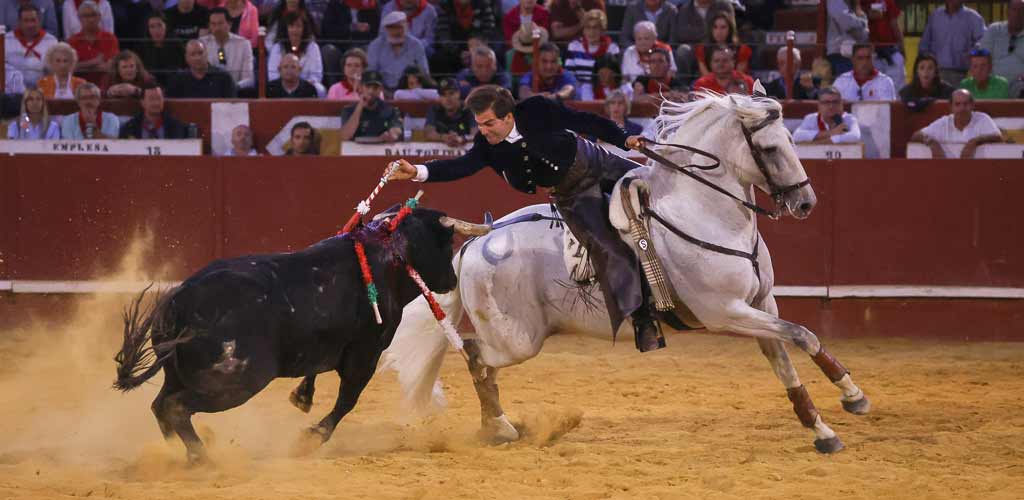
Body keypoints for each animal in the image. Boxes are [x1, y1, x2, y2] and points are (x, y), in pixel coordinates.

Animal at [113, 206, 490, 464]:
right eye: (446, 243)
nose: (451, 280)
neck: (387, 256)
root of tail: (178, 301)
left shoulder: (323, 343)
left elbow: (317, 371)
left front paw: (302, 398)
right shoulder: (365, 353)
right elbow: (347, 400)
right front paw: (312, 436)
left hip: (179, 373)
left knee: (160, 405)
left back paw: (174, 454)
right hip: (238, 379)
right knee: (176, 407)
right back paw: (202, 458)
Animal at [376, 84, 871, 454]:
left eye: (793, 141)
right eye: (768, 147)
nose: (805, 203)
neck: (701, 209)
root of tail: (476, 241)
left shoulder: (759, 304)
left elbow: (787, 354)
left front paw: (829, 420)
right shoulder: (726, 312)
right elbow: (803, 335)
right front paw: (850, 400)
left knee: (480, 365)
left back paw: (499, 428)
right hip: (517, 340)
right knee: (477, 359)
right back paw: (500, 427)